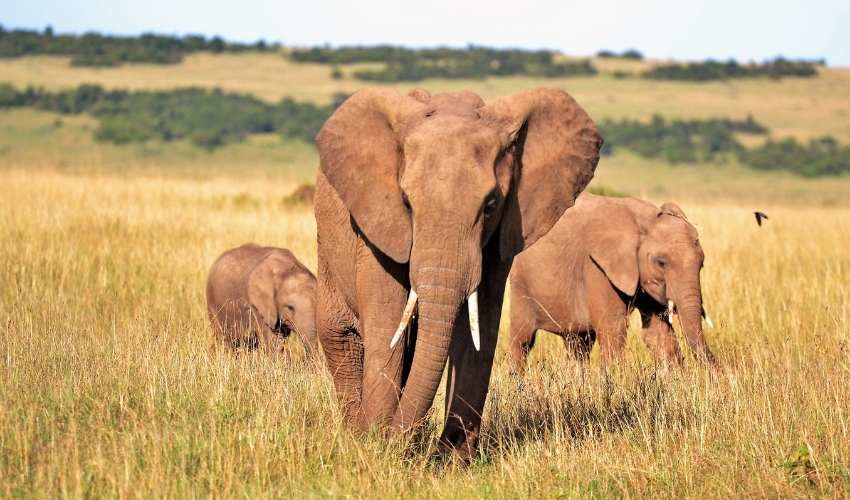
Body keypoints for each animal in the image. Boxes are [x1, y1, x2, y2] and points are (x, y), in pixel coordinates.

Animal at [314, 86, 600, 458]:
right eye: (406, 203)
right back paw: (356, 435)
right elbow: (387, 321)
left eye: (490, 205)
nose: (393, 440)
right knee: (341, 337)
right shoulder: (377, 224)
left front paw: (450, 460)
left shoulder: (502, 235)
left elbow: (480, 329)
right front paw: (377, 446)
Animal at [510, 193, 716, 374]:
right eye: (661, 262)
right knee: (522, 340)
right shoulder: (596, 266)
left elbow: (658, 333)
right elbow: (613, 330)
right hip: (520, 282)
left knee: (578, 344)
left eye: (702, 264)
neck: (644, 220)